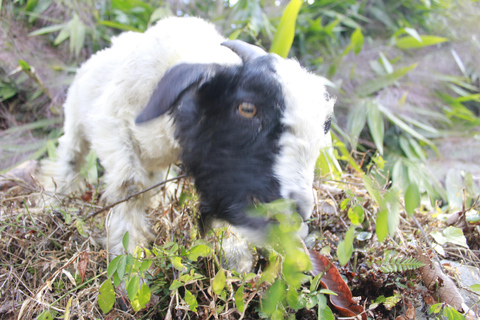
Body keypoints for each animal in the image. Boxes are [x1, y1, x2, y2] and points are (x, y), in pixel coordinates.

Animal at [42, 16, 334, 272]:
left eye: (325, 126)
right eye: (247, 108)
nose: (292, 216)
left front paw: (234, 256)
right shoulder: (112, 126)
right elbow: (130, 187)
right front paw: (129, 259)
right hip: (76, 123)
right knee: (70, 160)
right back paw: (50, 203)